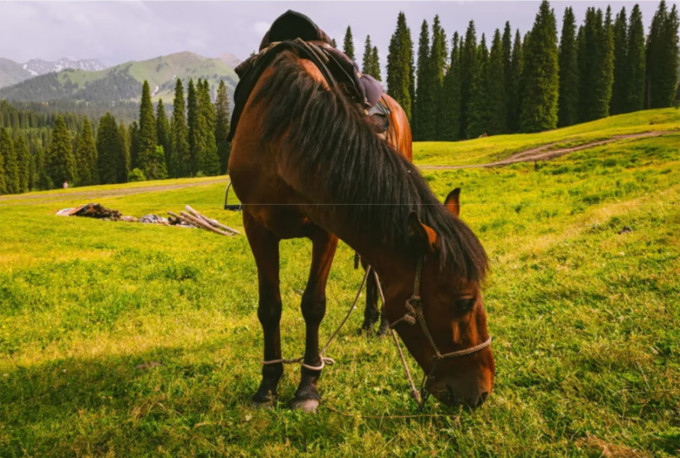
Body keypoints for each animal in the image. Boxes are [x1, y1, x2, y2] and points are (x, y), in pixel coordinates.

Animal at [228, 48, 494, 411]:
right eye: (464, 303)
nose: (483, 391)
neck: (281, 135)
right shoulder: (257, 228)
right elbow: (270, 307)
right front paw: (268, 385)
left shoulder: (327, 230)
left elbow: (313, 305)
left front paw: (307, 387)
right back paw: (369, 320)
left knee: (375, 270)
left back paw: (379, 325)